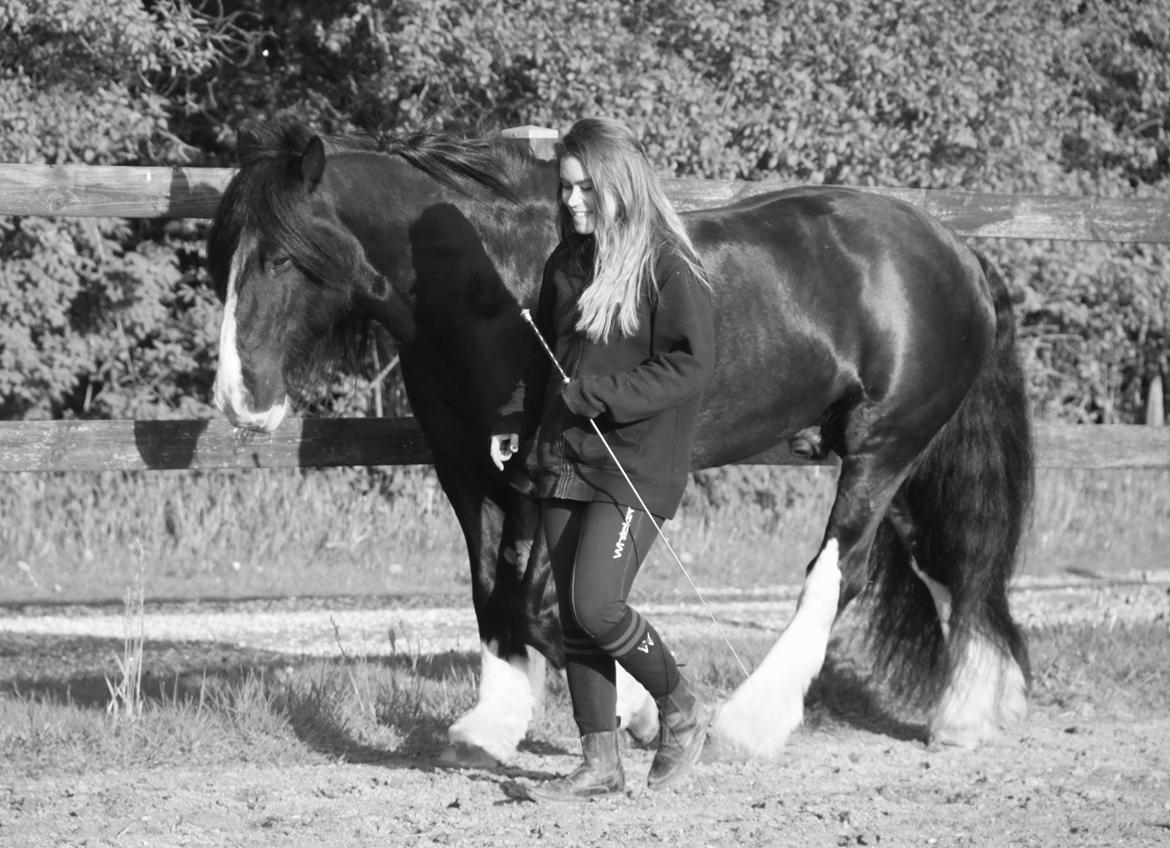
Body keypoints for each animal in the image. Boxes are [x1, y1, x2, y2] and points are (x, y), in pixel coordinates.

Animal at [208, 120, 1034, 767]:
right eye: (226, 256)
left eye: (281, 255)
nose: (240, 400)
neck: (490, 284)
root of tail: (953, 249)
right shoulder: (467, 470)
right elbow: (493, 592)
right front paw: (491, 726)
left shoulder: (540, 472)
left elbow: (543, 601)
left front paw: (637, 709)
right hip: (905, 456)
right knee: (958, 561)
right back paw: (969, 714)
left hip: (882, 446)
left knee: (841, 570)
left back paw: (751, 724)